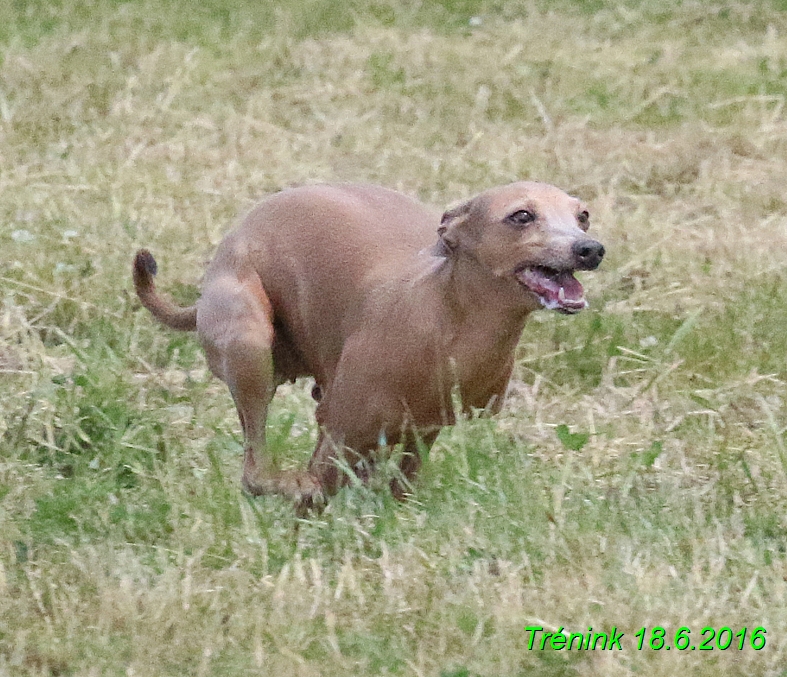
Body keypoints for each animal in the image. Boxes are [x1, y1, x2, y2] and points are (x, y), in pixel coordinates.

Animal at [134, 182, 604, 510]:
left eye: (582, 215)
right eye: (521, 215)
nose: (591, 248)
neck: (447, 319)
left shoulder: (422, 431)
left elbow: (399, 489)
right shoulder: (343, 428)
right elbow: (314, 494)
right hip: (248, 343)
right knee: (255, 471)